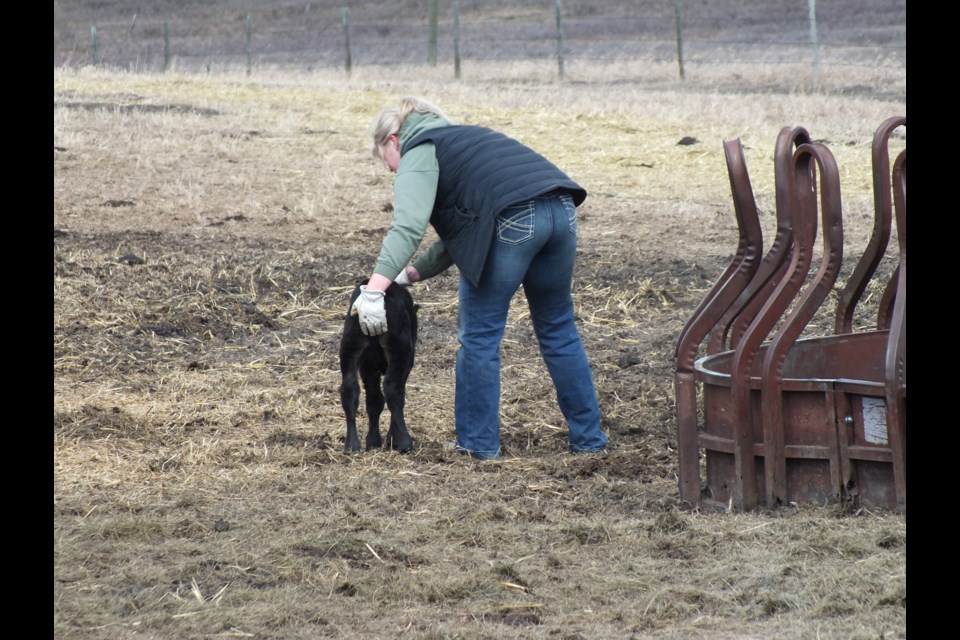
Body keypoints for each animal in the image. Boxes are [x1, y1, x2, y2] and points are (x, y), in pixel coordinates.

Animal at [338, 282, 416, 456]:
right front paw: (391, 439)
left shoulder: (367, 365)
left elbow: (374, 401)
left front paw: (373, 442)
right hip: (399, 349)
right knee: (393, 388)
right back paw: (404, 442)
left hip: (351, 347)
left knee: (350, 388)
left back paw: (352, 445)